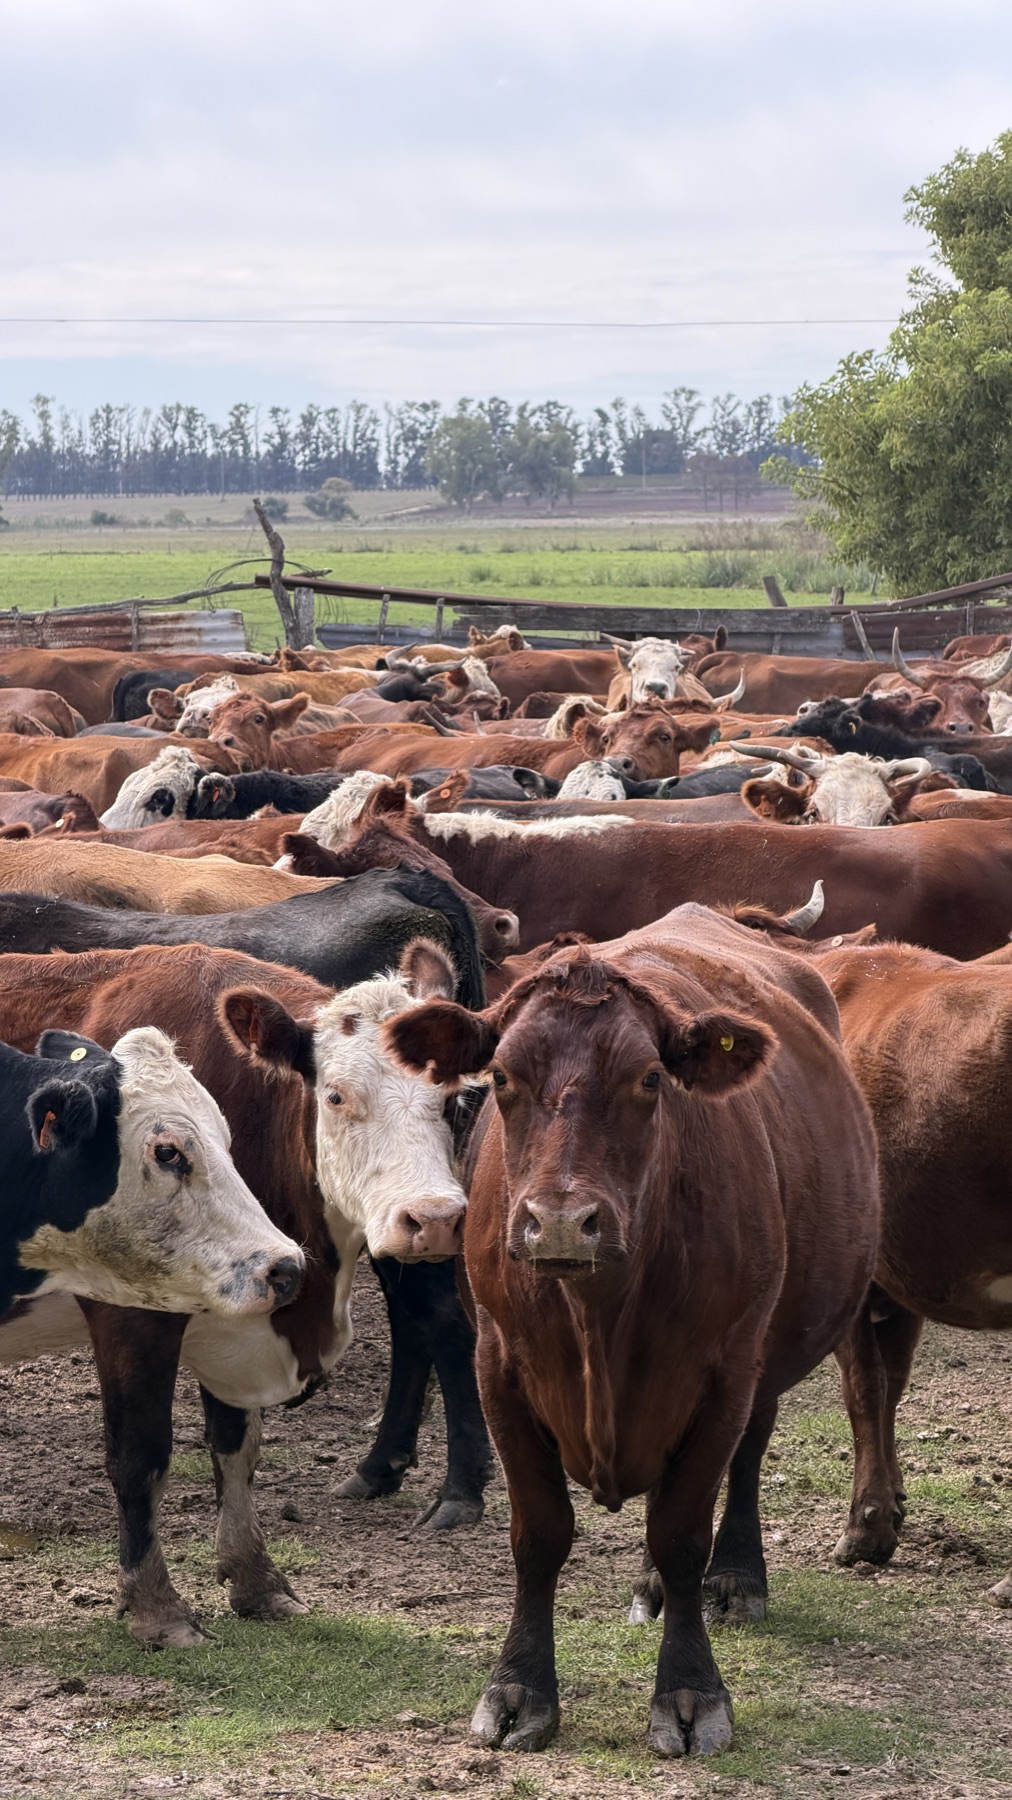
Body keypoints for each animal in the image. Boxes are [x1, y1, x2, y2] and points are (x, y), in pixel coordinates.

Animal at [385, 910, 879, 1756]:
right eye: (501, 1079)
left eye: (650, 1079)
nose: (559, 1221)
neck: (600, 1315)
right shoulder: (498, 1370)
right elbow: (539, 1535)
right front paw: (519, 1689)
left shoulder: (725, 1374)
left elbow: (681, 1533)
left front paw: (689, 1692)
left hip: (767, 1359)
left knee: (744, 1460)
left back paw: (736, 1575)